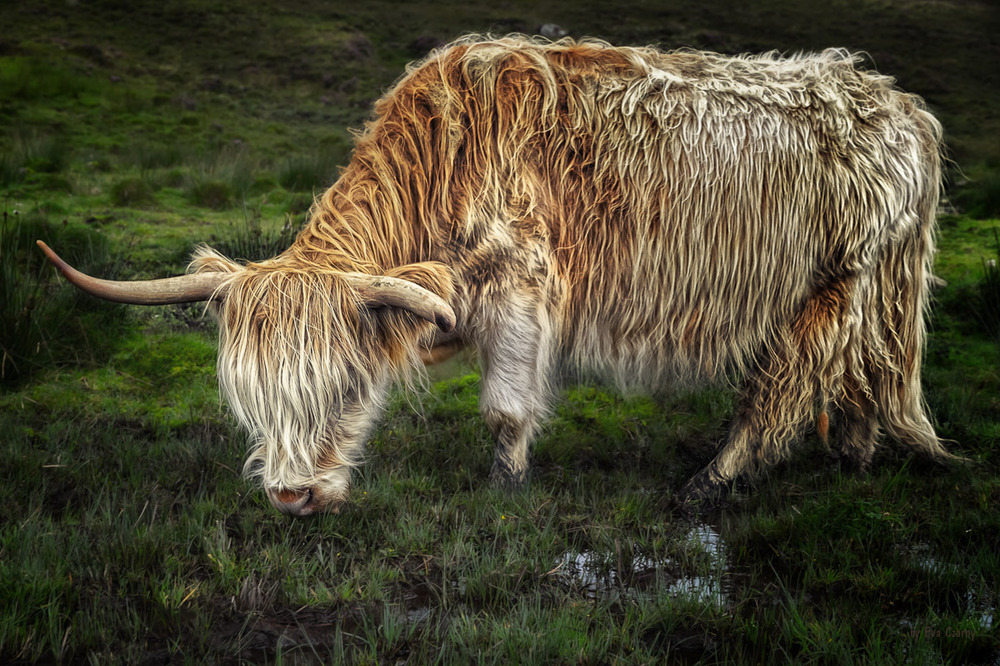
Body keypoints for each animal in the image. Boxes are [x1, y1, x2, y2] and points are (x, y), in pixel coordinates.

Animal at [41, 35, 960, 512]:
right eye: (249, 396)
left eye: (345, 387)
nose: (293, 496)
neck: (447, 155)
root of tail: (899, 103)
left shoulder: (521, 291)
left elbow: (505, 409)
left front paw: (506, 487)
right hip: (872, 289)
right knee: (867, 374)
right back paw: (852, 460)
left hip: (834, 284)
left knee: (795, 382)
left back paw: (708, 483)